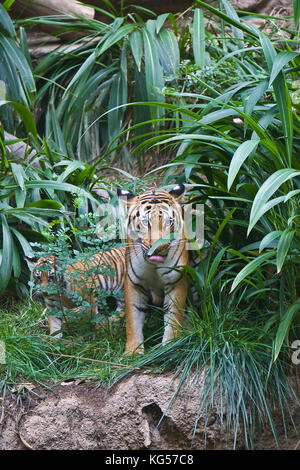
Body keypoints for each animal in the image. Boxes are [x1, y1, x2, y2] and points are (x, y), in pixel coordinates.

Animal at [117, 185, 188, 354]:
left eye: (169, 222)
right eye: (145, 222)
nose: (158, 247)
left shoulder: (176, 281)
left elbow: (174, 315)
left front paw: (170, 346)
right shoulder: (134, 283)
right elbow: (133, 318)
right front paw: (132, 352)